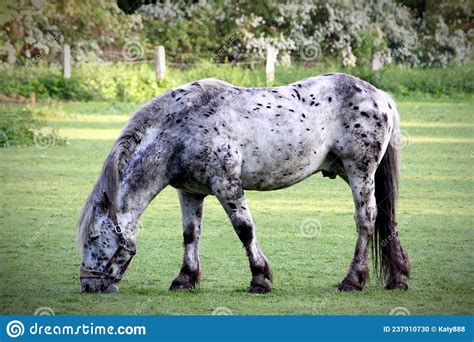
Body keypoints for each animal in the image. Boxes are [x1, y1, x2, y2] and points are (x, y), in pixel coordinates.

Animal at [76, 73, 410, 294]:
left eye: (94, 237)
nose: (88, 285)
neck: (182, 126)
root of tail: (380, 96)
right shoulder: (190, 192)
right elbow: (190, 234)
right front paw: (185, 278)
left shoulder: (227, 185)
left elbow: (244, 230)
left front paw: (259, 279)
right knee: (386, 220)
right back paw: (396, 278)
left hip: (359, 171)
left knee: (366, 219)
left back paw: (353, 280)